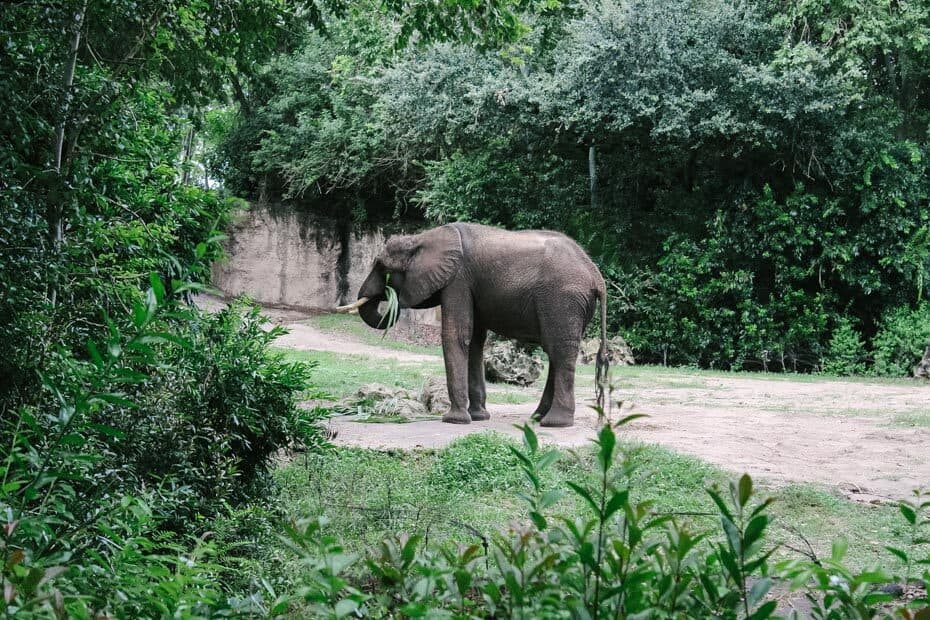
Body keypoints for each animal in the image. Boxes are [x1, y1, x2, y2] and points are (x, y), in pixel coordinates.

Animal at [338, 222, 604, 426]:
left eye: (382, 267)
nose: (386, 297)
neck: (423, 237)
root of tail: (596, 275)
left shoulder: (457, 280)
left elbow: (456, 335)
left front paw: (454, 420)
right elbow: (475, 341)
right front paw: (478, 417)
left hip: (562, 298)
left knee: (560, 350)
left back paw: (555, 423)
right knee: (555, 351)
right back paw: (537, 418)